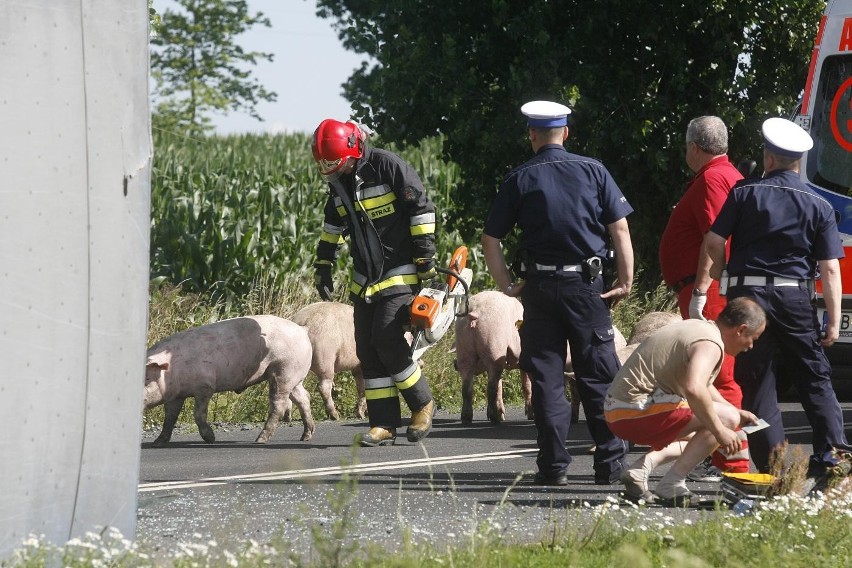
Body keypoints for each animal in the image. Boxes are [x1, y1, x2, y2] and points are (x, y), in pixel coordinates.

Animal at [143, 316, 316, 444]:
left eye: (147, 379)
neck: (173, 369)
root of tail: (302, 330)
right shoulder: (176, 395)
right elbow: (170, 417)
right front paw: (158, 442)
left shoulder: (205, 386)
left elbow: (198, 413)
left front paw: (211, 439)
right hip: (293, 376)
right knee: (304, 397)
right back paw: (305, 437)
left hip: (284, 370)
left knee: (278, 404)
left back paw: (260, 439)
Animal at [452, 290, 532, 424]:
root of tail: (474, 312)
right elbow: (527, 385)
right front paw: (531, 415)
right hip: (493, 342)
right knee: (491, 387)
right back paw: (494, 418)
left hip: (464, 347)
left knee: (467, 386)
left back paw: (467, 419)